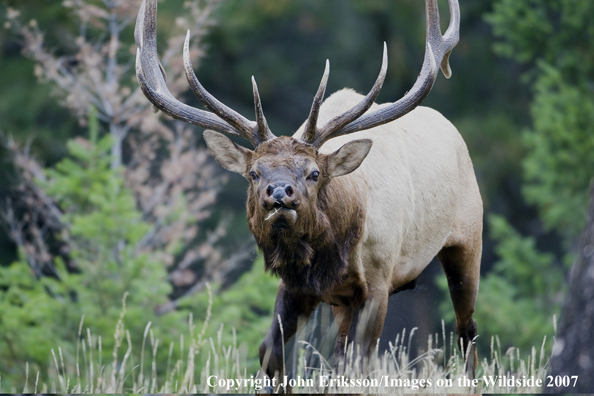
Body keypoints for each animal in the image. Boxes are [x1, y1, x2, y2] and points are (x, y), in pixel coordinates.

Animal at [134, 0, 480, 386]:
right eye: (254, 173)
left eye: (314, 173)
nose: (280, 192)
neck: (332, 253)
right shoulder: (298, 285)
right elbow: (270, 351)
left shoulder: (378, 279)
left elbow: (358, 364)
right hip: (341, 304)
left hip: (467, 240)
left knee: (467, 331)